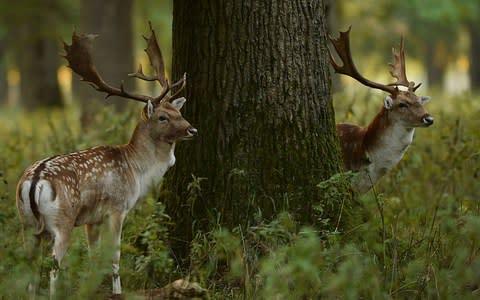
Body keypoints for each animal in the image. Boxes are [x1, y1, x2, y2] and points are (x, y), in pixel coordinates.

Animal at [16, 22, 197, 296]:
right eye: (163, 117)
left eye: (179, 112)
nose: (192, 130)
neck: (136, 170)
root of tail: (34, 180)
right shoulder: (117, 207)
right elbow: (114, 257)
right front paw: (117, 292)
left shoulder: (93, 220)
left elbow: (93, 257)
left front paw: (93, 289)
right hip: (62, 221)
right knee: (54, 266)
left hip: (26, 224)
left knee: (28, 265)